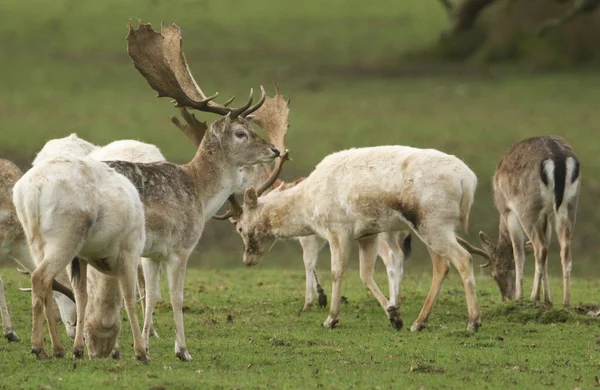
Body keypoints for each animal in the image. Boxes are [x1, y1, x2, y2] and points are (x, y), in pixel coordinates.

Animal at [223, 146, 480, 332]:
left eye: (240, 227)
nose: (247, 259)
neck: (308, 203)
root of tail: (468, 181)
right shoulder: (367, 234)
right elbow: (365, 274)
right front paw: (394, 316)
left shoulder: (337, 229)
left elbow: (338, 271)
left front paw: (331, 319)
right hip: (430, 227)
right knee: (442, 266)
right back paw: (419, 322)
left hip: (434, 224)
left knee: (463, 258)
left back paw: (473, 322)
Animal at [458, 136, 580, 306]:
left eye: (493, 274)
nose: (506, 298)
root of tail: (558, 157)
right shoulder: (547, 216)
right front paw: (548, 299)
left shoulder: (508, 210)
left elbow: (518, 252)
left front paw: (520, 296)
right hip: (569, 204)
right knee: (565, 249)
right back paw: (566, 301)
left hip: (527, 208)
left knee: (540, 247)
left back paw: (533, 296)